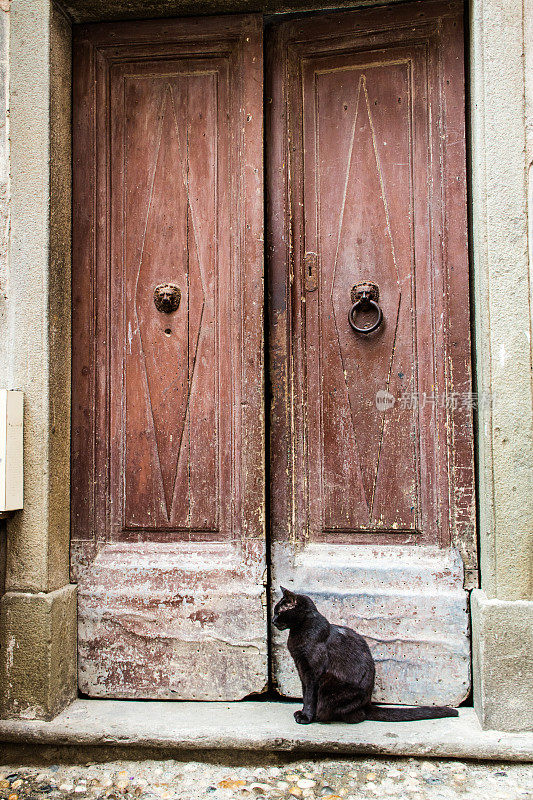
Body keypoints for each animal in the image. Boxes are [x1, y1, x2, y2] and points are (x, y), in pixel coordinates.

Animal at [272, 588, 460, 724]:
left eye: (278, 612)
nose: (273, 621)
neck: (299, 630)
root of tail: (368, 703)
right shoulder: (301, 669)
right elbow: (305, 694)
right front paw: (304, 712)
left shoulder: (313, 673)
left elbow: (310, 696)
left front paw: (306, 717)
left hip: (328, 683)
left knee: (355, 716)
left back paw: (321, 717)